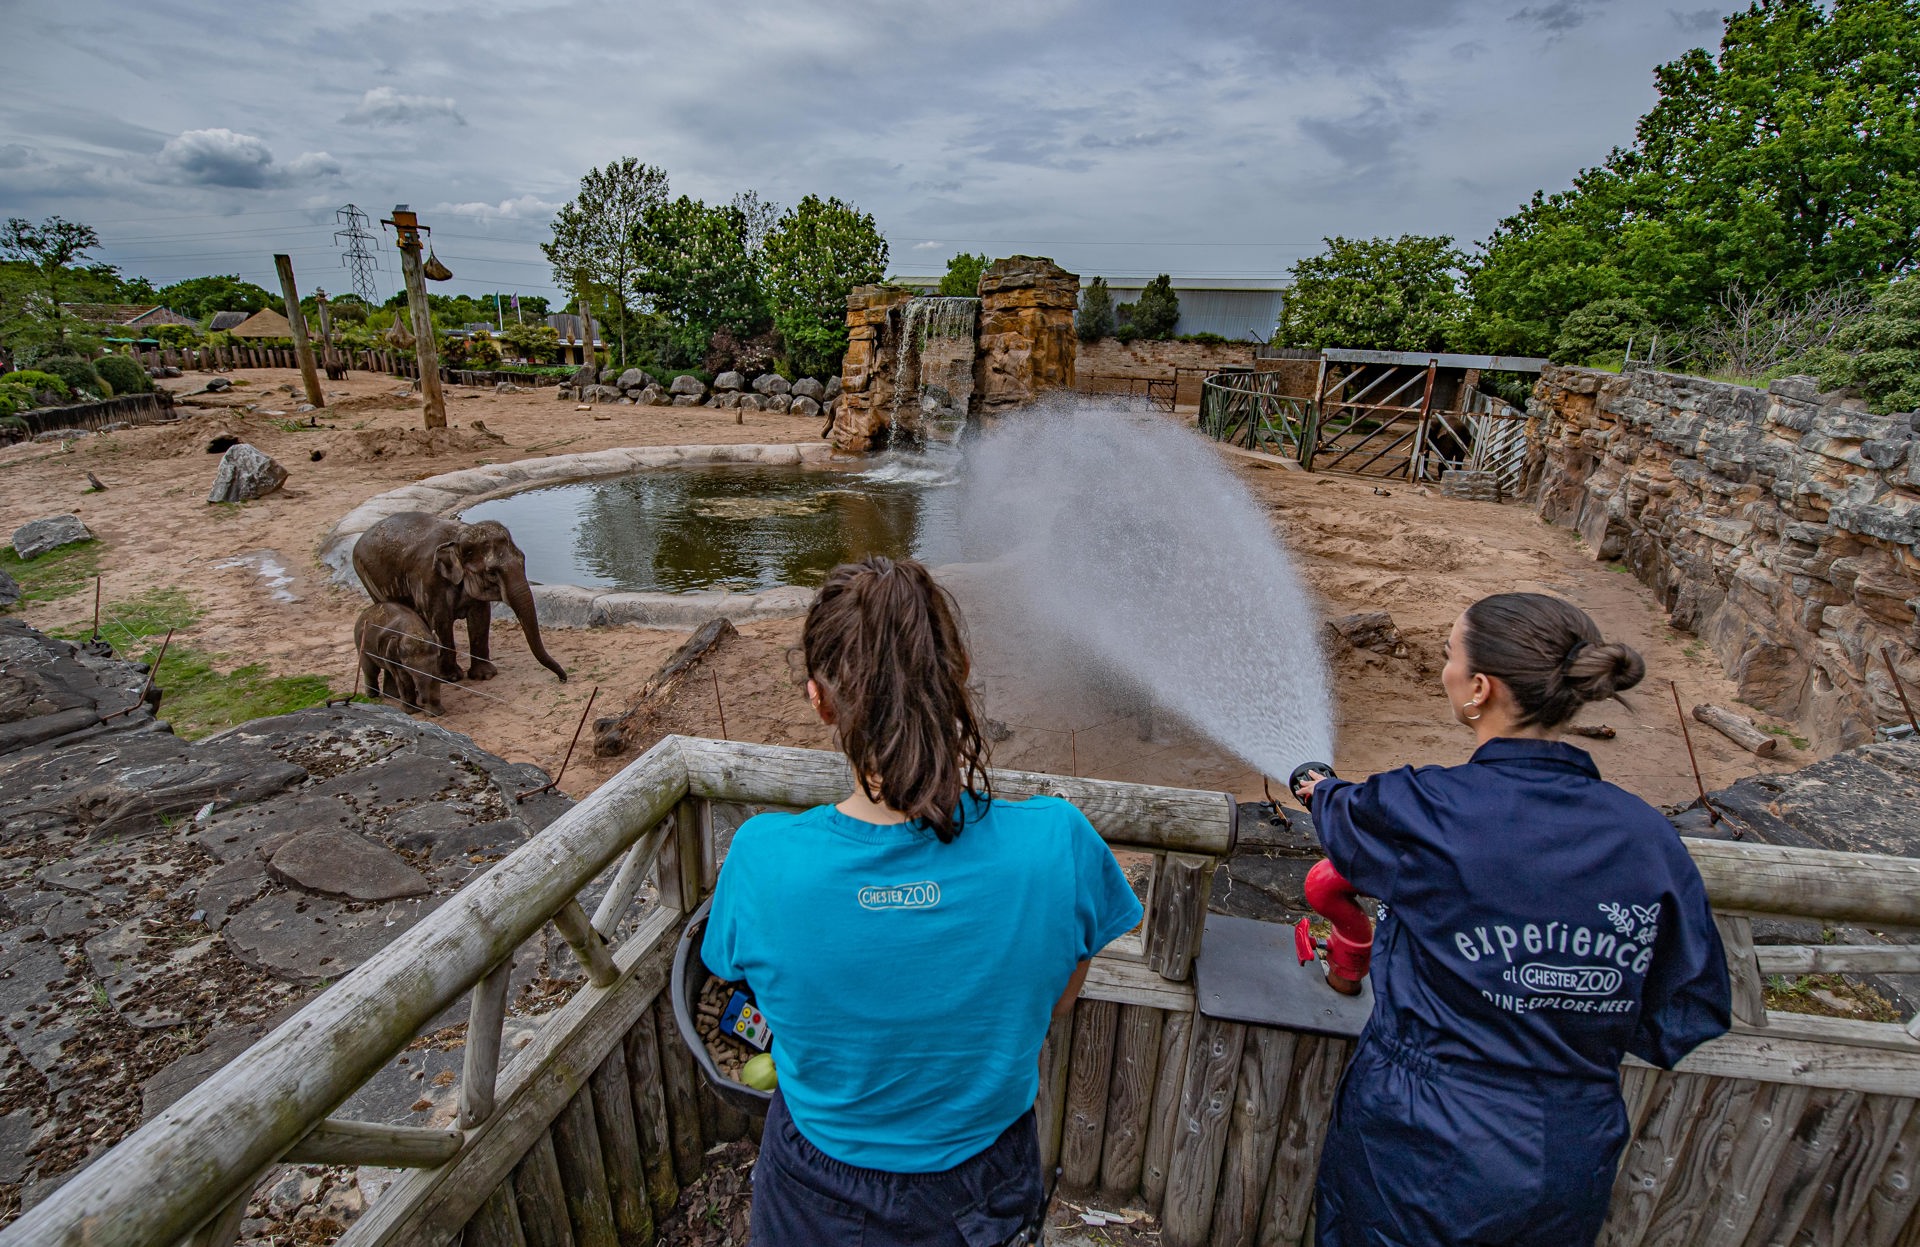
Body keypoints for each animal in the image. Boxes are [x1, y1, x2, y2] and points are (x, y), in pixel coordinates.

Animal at [351, 512, 567, 683]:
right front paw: (451, 678)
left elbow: (480, 618)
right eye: (492, 573)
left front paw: (484, 676)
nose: (563, 679)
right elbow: (442, 621)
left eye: (523, 559)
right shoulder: (429, 580)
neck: (458, 536)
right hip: (366, 576)